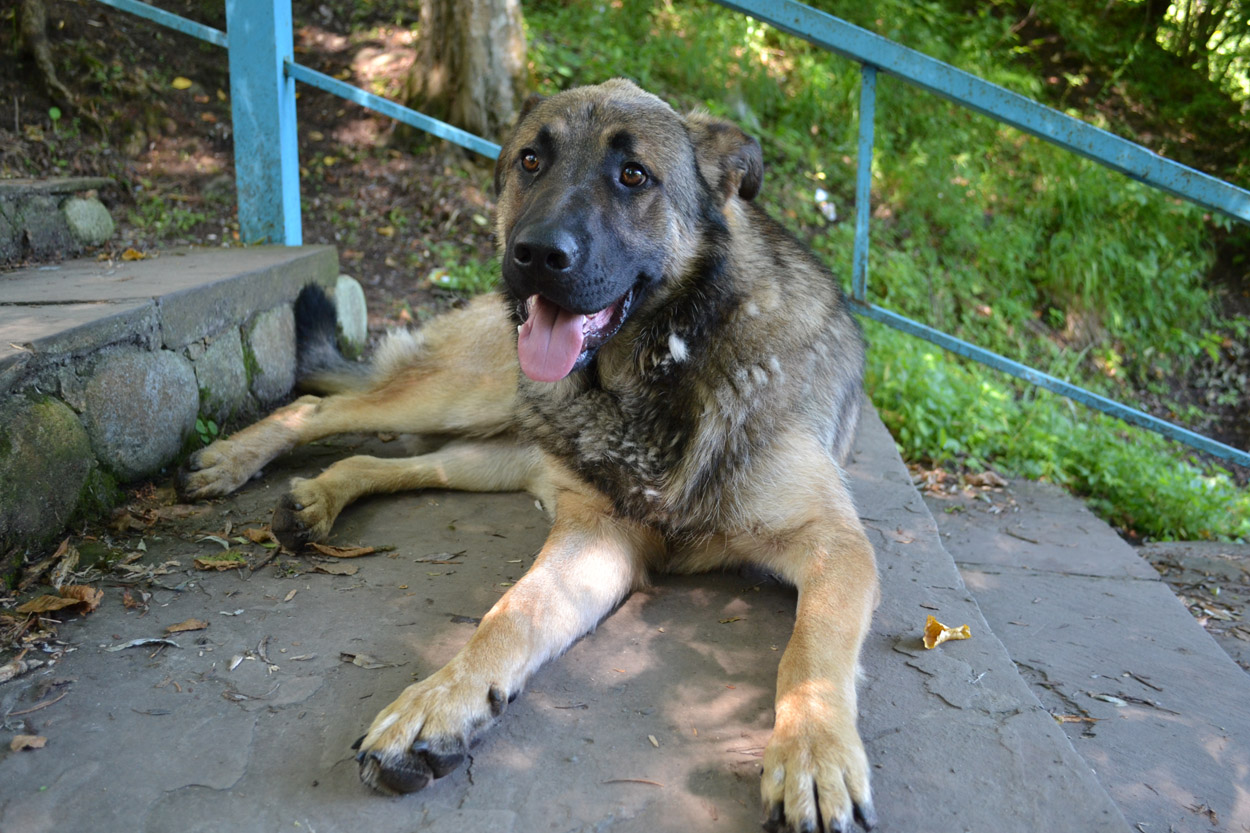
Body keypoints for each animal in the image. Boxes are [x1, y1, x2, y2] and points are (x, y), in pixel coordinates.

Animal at [179, 79, 879, 832]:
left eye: (634, 175)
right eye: (531, 161)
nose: (535, 256)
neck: (666, 365)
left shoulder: (835, 546)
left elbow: (809, 654)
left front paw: (813, 756)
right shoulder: (598, 532)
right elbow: (508, 614)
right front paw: (437, 702)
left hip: (495, 452)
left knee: (397, 462)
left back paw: (320, 496)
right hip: (467, 396)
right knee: (321, 409)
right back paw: (235, 458)